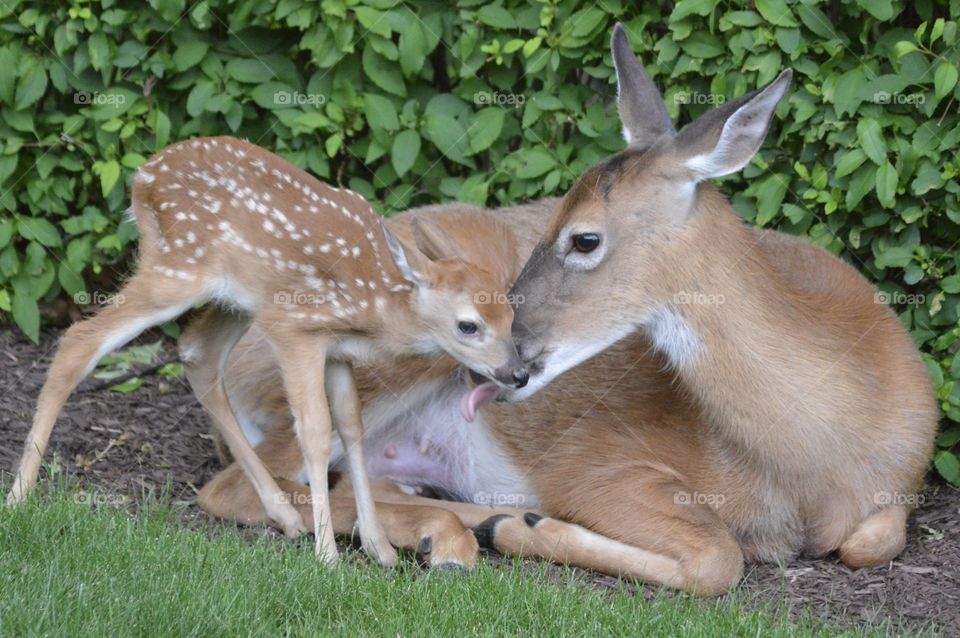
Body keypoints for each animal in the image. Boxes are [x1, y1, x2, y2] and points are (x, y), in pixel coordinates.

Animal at [5, 138, 524, 568]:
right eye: (468, 325)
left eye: (510, 315)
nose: (516, 373)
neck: (373, 303)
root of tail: (141, 176)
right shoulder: (294, 330)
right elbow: (314, 432)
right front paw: (329, 557)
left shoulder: (336, 350)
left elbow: (351, 426)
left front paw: (379, 549)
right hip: (178, 267)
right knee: (80, 340)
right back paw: (18, 496)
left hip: (235, 297)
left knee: (196, 353)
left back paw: (285, 517)